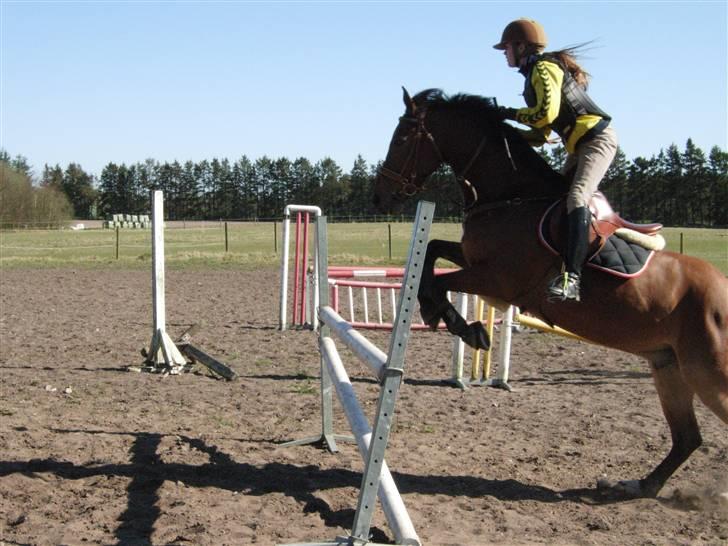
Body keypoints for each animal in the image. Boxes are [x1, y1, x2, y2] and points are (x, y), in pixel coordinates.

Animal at [376, 86, 728, 498]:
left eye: (402, 137)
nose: (381, 196)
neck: (511, 197)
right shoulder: (476, 261)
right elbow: (431, 252)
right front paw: (445, 317)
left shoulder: (498, 279)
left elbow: (438, 281)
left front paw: (465, 327)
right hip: (668, 366)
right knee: (687, 438)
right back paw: (635, 486)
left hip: (708, 374)